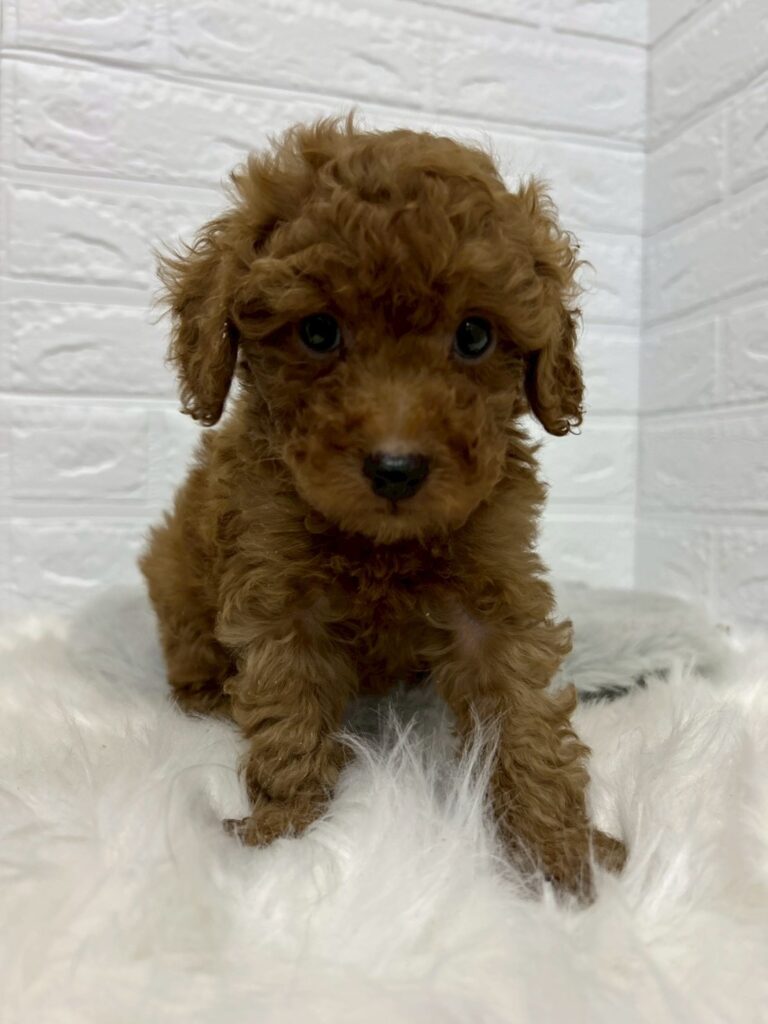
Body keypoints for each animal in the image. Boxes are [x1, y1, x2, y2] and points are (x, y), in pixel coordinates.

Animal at [140, 117, 626, 898]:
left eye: (474, 335)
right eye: (318, 333)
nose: (396, 469)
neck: (381, 545)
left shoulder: (494, 595)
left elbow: (525, 717)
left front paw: (561, 856)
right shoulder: (278, 595)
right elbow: (288, 715)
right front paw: (284, 833)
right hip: (173, 570)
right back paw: (210, 694)